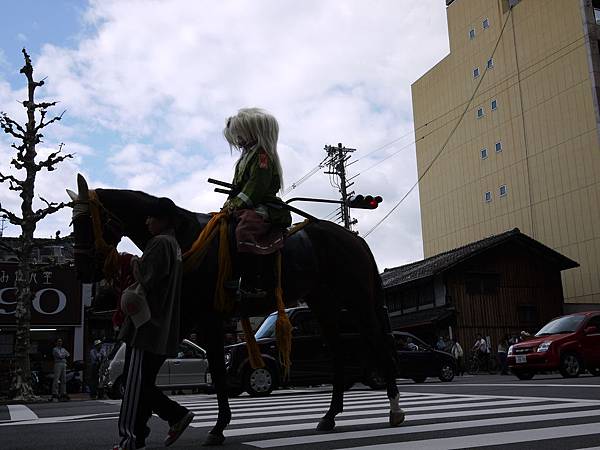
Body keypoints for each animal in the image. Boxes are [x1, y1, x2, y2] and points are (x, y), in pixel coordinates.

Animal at [68, 174, 406, 444]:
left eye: (85, 223)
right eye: (72, 224)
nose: (82, 270)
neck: (183, 238)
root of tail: (353, 238)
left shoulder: (205, 316)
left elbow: (216, 371)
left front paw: (216, 427)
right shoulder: (184, 315)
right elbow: (147, 373)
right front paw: (147, 427)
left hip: (357, 298)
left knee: (378, 344)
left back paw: (395, 409)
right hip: (322, 302)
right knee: (337, 354)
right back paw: (330, 416)